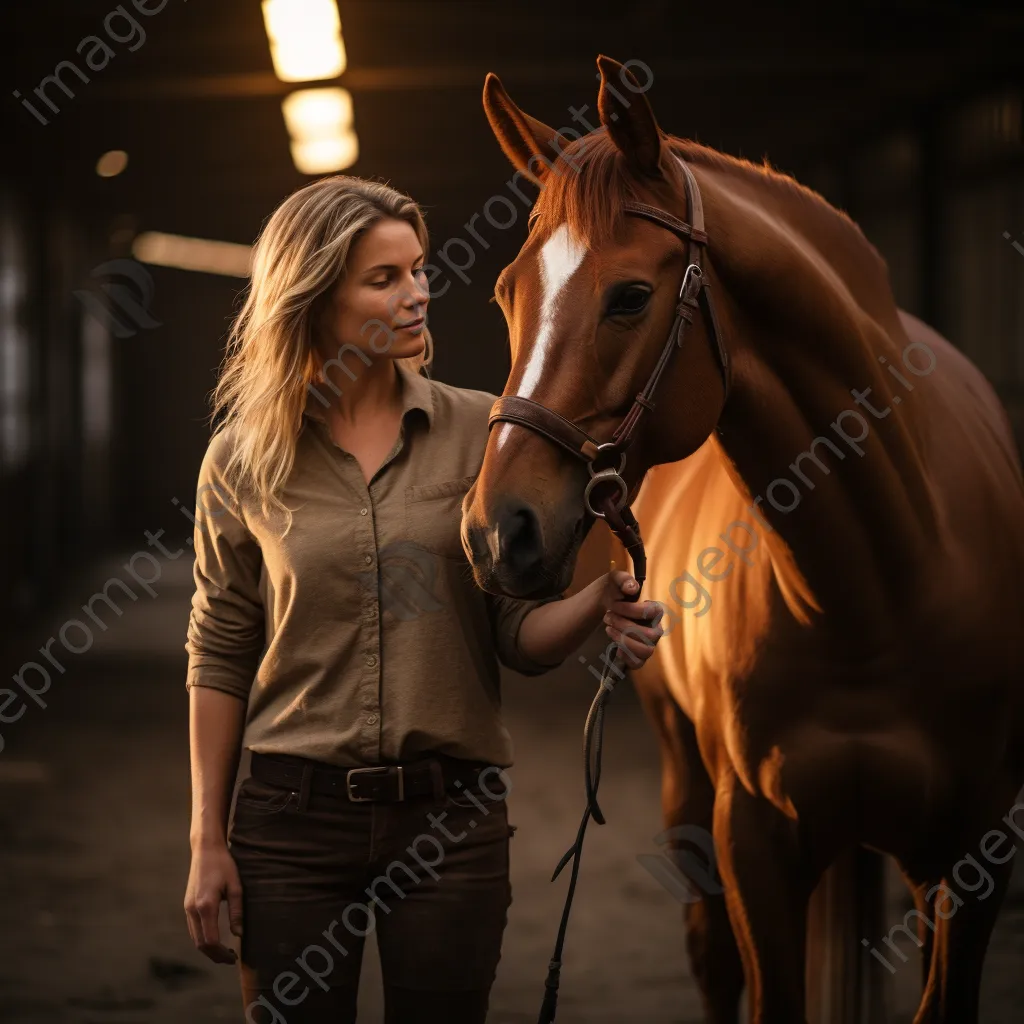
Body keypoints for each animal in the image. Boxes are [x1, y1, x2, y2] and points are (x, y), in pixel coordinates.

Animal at [464, 56, 1024, 1024]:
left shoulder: (972, 853)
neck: (880, 590)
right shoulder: (755, 841)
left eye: (631, 296)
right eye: (508, 293)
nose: (499, 530)